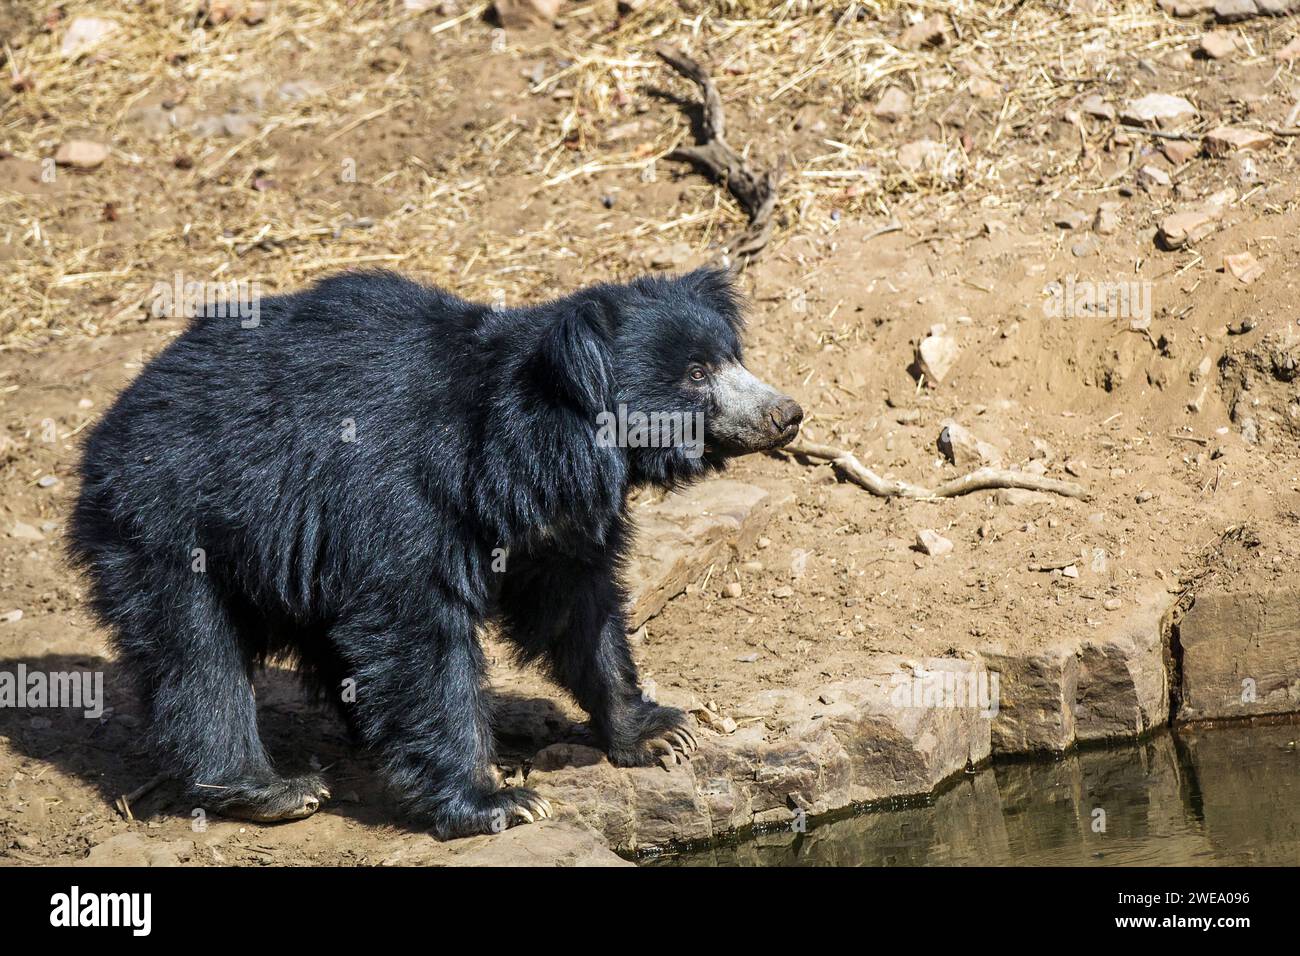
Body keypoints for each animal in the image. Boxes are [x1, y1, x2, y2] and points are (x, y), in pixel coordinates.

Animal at [71, 269, 800, 837]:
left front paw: (658, 731)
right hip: (168, 521)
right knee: (197, 653)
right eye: (696, 373)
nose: (786, 414)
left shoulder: (548, 527)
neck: (531, 443)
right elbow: (417, 633)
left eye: (732, 356)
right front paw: (498, 801)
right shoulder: (402, 499)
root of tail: (110, 425)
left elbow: (577, 613)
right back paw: (273, 789)